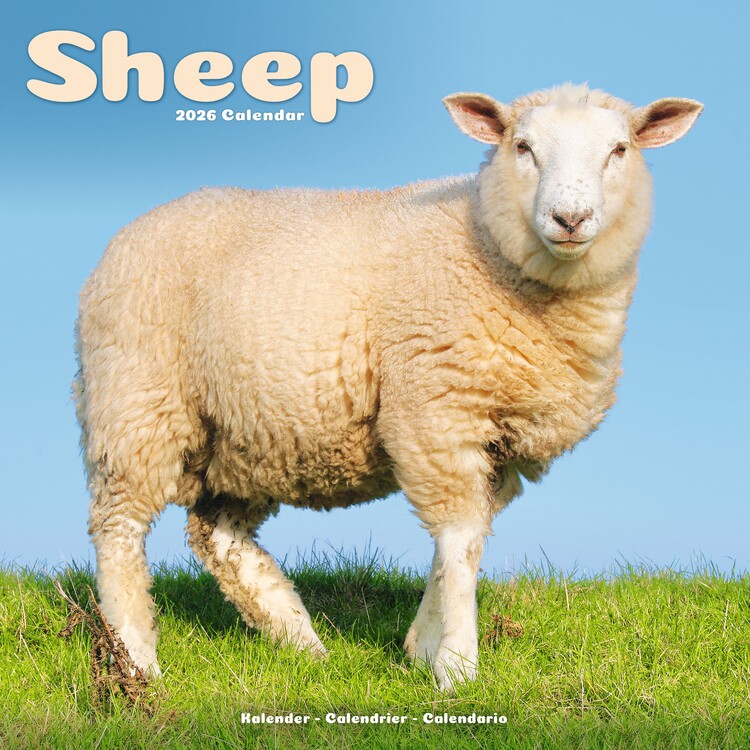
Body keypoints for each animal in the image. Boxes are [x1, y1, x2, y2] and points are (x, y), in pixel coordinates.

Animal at [74, 83, 702, 691]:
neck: (487, 245)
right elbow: (460, 540)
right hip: (136, 404)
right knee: (118, 531)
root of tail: (125, 236)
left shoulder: (497, 445)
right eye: (522, 147)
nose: (570, 219)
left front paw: (421, 648)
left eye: (619, 150)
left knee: (218, 537)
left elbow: (462, 543)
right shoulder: (436, 411)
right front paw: (457, 665)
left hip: (247, 434)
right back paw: (137, 661)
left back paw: (300, 641)